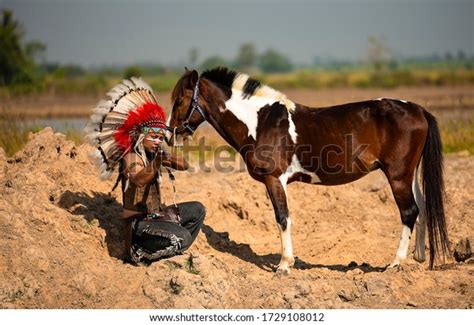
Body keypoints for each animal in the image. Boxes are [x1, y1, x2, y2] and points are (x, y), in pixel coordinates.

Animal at [168, 67, 450, 274]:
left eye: (180, 100)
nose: (170, 135)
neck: (260, 122)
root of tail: (417, 109)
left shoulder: (275, 180)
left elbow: (283, 218)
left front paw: (284, 266)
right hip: (409, 175)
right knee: (422, 207)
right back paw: (418, 257)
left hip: (398, 176)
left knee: (409, 211)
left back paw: (396, 263)